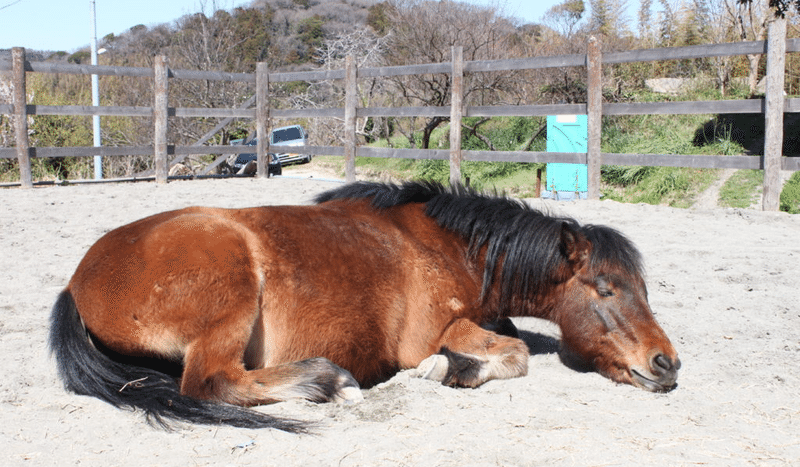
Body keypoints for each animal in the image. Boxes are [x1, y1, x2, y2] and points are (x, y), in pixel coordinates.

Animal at [47, 181, 680, 434]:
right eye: (606, 290)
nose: (666, 363)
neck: (447, 244)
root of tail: (78, 281)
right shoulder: (435, 328)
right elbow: (515, 352)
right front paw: (449, 369)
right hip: (231, 292)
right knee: (209, 382)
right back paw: (328, 381)